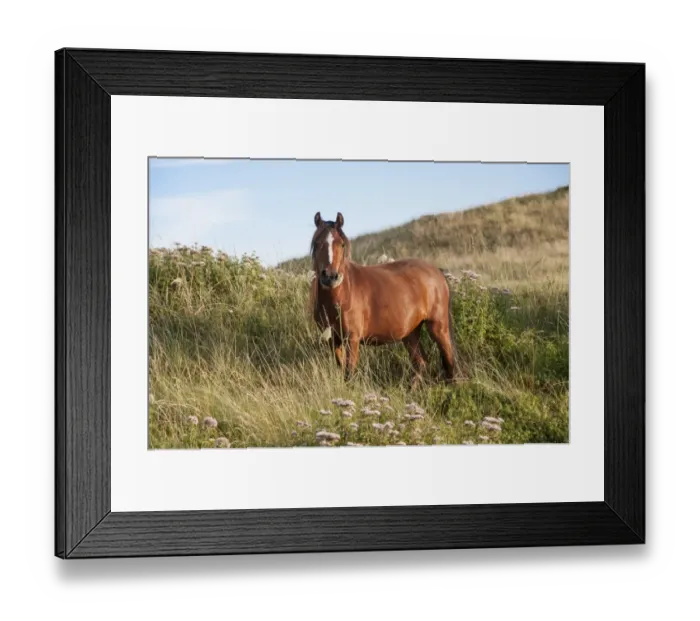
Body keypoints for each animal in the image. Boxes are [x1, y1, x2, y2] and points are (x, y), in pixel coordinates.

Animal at [309, 211, 457, 386]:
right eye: (317, 243)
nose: (330, 277)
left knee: (449, 360)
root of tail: (437, 272)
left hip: (438, 326)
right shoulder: (334, 340)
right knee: (420, 363)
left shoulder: (352, 339)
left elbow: (349, 373)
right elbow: (342, 369)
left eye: (342, 244)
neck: (342, 295)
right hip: (411, 333)